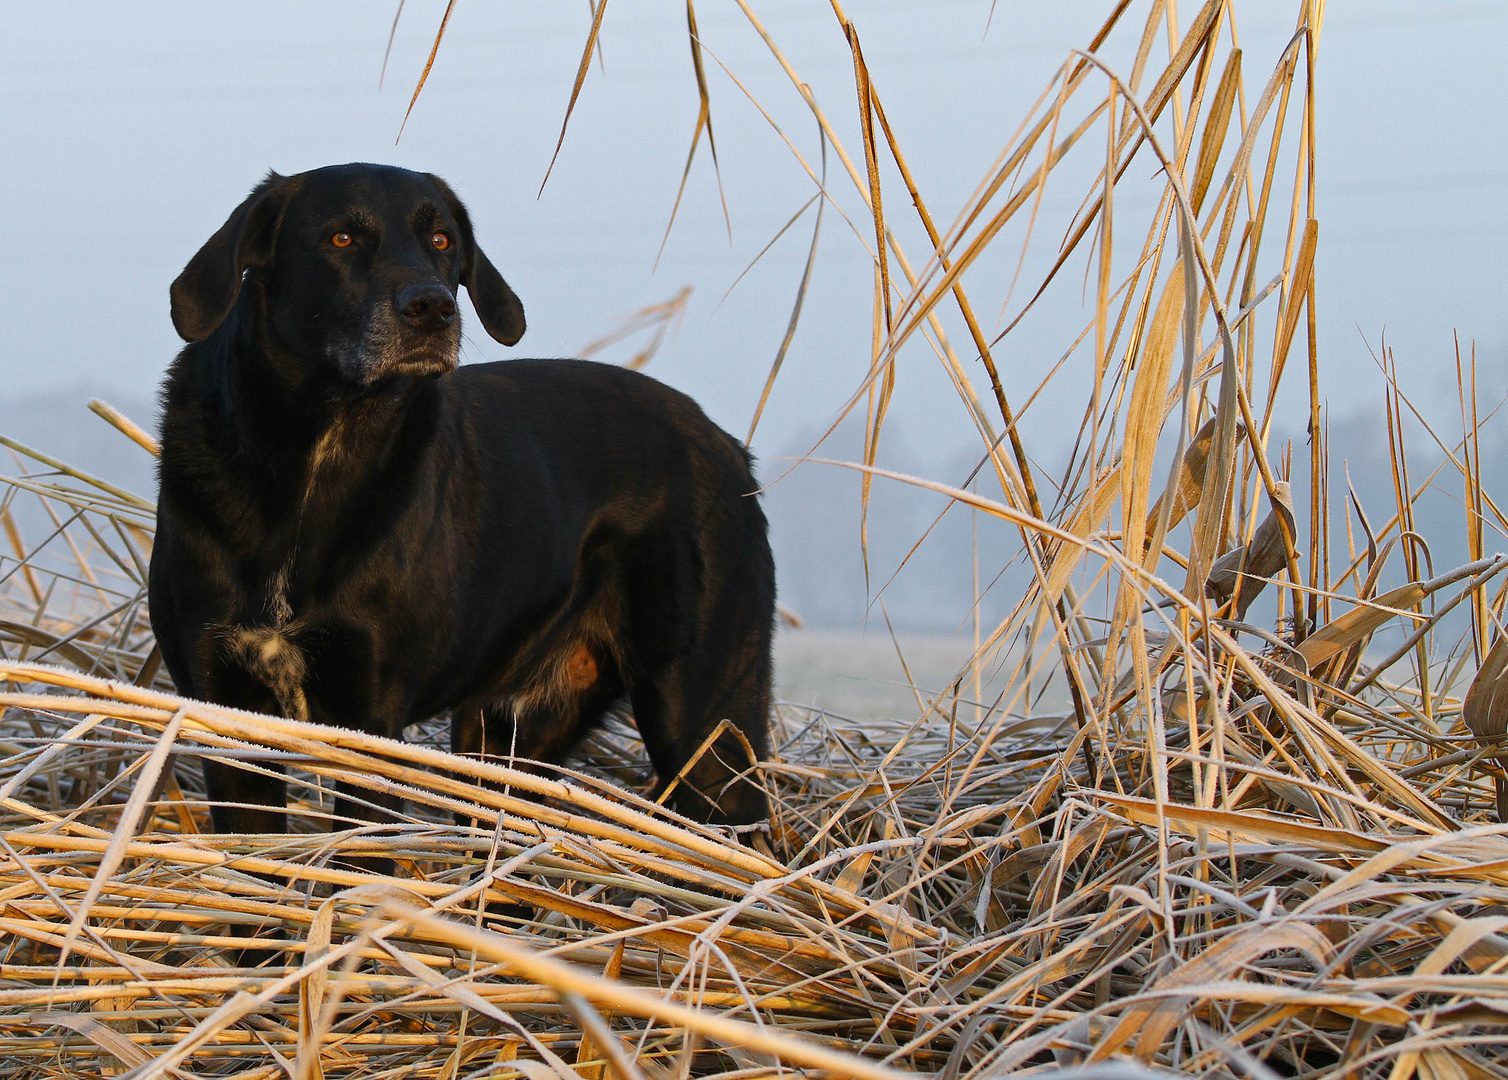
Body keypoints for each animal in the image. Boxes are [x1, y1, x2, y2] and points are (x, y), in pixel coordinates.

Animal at [150, 162, 778, 832]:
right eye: (341, 238)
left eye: (442, 240)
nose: (433, 307)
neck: (323, 451)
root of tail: (727, 446)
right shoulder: (226, 712)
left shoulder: (371, 718)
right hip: (510, 740)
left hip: (707, 727)